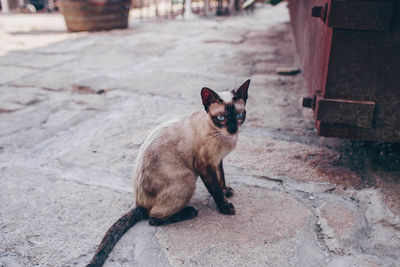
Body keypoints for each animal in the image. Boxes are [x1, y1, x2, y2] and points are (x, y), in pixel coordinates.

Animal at [87, 78, 250, 266]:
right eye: (221, 118)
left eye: (239, 116)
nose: (233, 129)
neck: (223, 138)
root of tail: (138, 202)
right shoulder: (205, 165)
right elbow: (215, 189)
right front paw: (225, 207)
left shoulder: (217, 162)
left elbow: (221, 178)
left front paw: (227, 192)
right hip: (188, 179)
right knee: (153, 218)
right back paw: (190, 212)